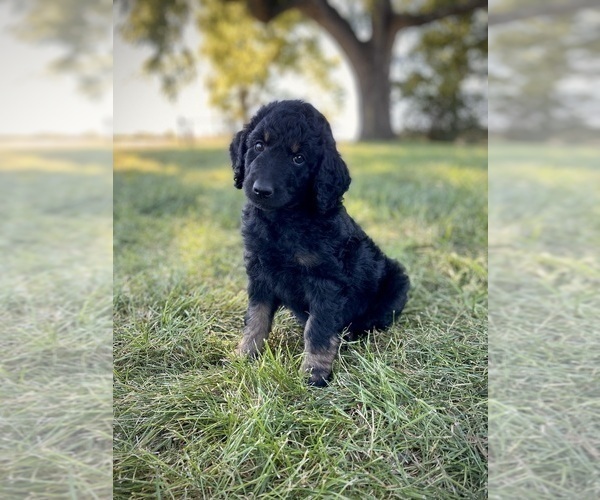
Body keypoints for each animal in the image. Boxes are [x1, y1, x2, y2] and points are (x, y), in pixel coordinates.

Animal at [229, 99, 408, 384]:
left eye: (298, 158)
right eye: (258, 146)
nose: (261, 190)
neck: (283, 220)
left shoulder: (325, 282)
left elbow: (318, 329)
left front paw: (315, 372)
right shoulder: (259, 273)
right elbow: (256, 317)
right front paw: (246, 353)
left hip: (397, 282)